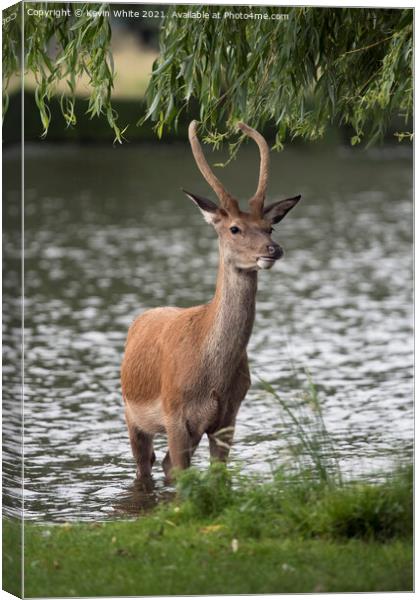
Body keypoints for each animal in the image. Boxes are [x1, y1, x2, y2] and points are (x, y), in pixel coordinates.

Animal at [120, 122, 300, 482]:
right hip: (131, 412)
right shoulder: (174, 413)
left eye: (269, 227)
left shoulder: (228, 416)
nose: (273, 249)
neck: (211, 379)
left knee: (163, 464)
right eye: (234, 228)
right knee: (145, 465)